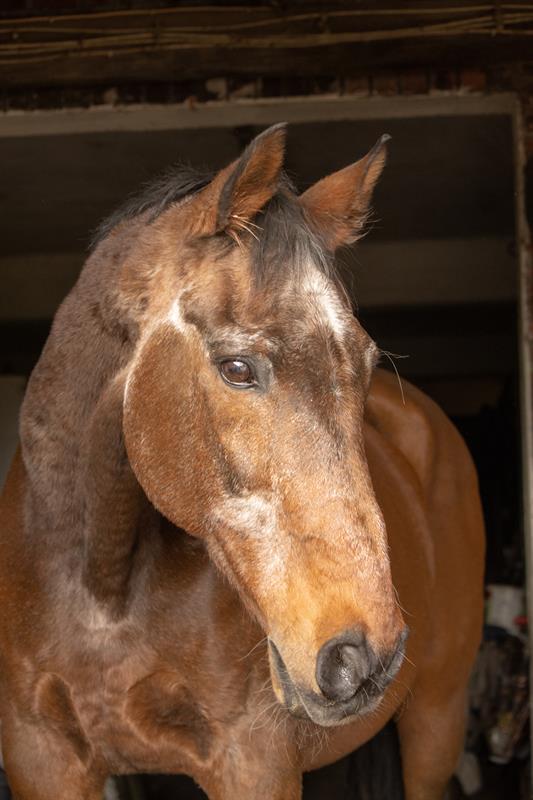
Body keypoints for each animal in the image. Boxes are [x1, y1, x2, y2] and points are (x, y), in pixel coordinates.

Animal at [0, 123, 485, 800]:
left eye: (365, 366)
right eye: (235, 368)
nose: (363, 655)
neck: (103, 592)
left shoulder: (253, 763)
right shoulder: (41, 759)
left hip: (437, 719)